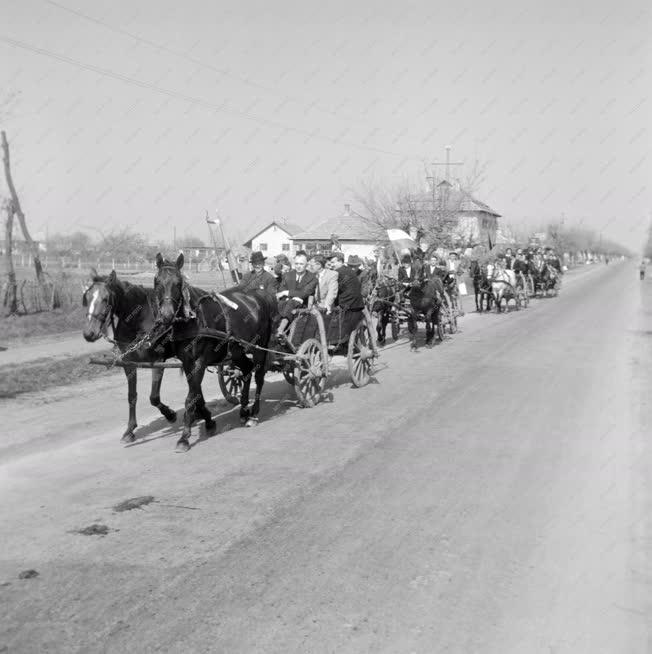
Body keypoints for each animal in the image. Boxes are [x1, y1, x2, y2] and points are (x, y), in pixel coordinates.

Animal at [81, 270, 178, 444]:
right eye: (87, 297)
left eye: (106, 299)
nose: (89, 333)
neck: (140, 320)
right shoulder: (129, 364)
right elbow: (132, 396)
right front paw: (130, 429)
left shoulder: (158, 362)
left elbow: (154, 397)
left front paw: (170, 414)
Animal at [154, 254, 276, 454]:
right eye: (157, 281)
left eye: (178, 283)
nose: (166, 315)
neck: (194, 319)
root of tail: (258, 295)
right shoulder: (187, 363)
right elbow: (196, 394)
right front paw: (207, 422)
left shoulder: (199, 362)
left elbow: (190, 398)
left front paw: (184, 438)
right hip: (237, 351)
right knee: (246, 369)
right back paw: (244, 410)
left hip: (259, 347)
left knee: (258, 375)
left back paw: (254, 413)